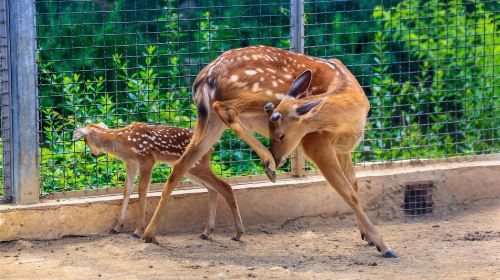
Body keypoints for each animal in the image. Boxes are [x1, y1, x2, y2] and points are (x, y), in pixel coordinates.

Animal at [73, 122, 244, 241]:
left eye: (85, 140)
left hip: (197, 166)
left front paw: (138, 230)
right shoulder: (131, 163)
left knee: (225, 186)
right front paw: (117, 227)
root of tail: (211, 149)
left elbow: (142, 190)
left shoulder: (147, 159)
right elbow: (127, 189)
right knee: (213, 189)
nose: (94, 154)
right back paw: (207, 232)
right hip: (192, 169)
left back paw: (237, 233)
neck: (123, 142)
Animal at [145, 46, 398, 258]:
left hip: (209, 122)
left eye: (282, 135)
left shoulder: (343, 149)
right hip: (251, 97)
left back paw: (153, 234)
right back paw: (267, 166)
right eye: (273, 132)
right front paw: (383, 245)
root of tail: (202, 80)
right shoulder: (316, 143)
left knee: (180, 166)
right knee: (225, 110)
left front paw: (366, 236)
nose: (277, 155)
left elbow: (354, 186)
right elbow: (348, 192)